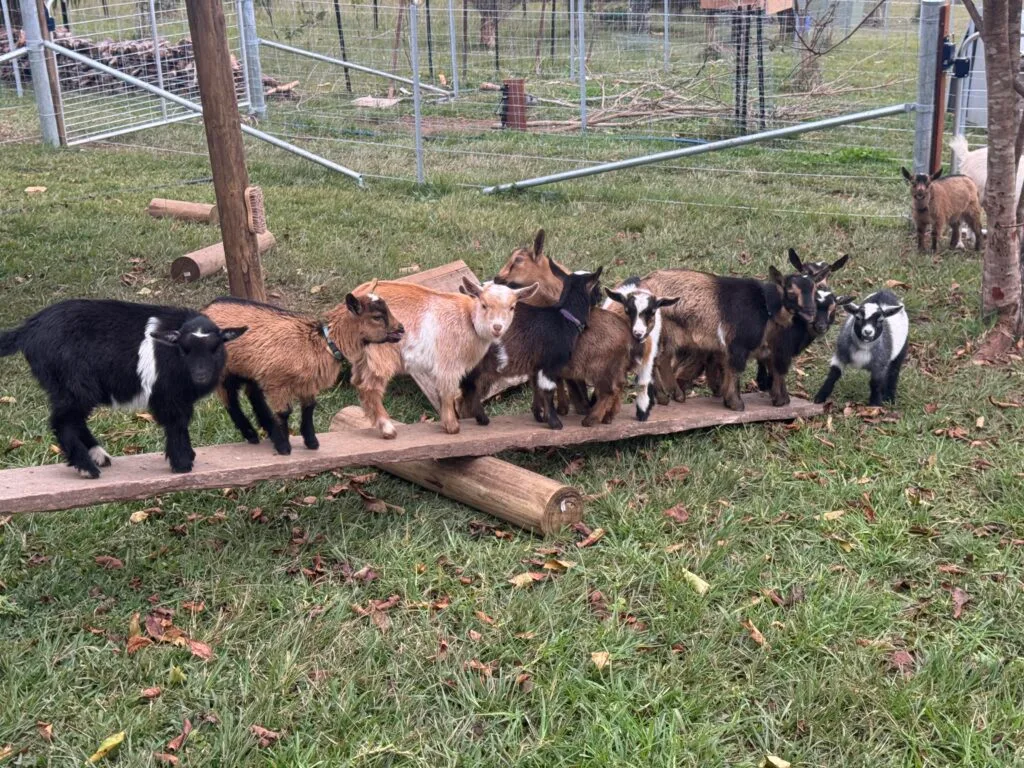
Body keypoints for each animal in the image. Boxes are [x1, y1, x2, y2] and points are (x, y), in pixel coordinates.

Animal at [0, 299, 246, 477]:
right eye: (184, 349)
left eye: (215, 347)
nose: (201, 375)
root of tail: (27, 330)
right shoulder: (168, 395)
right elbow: (176, 424)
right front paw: (182, 463)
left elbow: (181, 423)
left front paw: (188, 457)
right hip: (74, 384)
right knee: (63, 421)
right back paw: (87, 467)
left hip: (66, 387)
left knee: (73, 419)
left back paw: (98, 456)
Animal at [203, 292, 404, 455]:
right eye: (377, 317)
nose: (401, 329)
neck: (323, 344)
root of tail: (207, 308)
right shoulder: (277, 382)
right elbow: (284, 412)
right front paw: (284, 447)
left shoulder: (307, 384)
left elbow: (309, 408)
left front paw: (311, 442)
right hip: (224, 371)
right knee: (231, 402)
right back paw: (252, 434)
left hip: (250, 369)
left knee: (253, 396)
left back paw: (267, 430)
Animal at [351, 278, 537, 437]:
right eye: (484, 305)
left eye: (512, 307)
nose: (497, 327)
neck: (468, 319)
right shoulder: (448, 363)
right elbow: (448, 393)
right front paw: (452, 427)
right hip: (380, 352)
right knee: (370, 388)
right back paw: (387, 429)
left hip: (363, 358)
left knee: (359, 384)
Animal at [461, 265, 604, 430]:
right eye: (597, 286)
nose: (601, 295)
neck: (562, 319)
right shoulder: (549, 363)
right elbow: (548, 390)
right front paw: (555, 423)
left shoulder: (535, 366)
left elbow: (536, 388)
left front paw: (539, 416)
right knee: (469, 385)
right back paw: (479, 418)